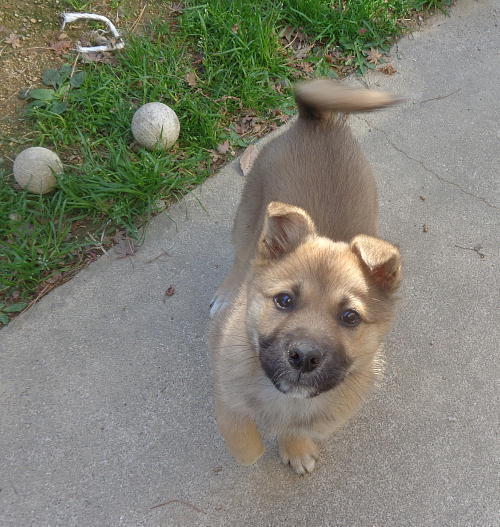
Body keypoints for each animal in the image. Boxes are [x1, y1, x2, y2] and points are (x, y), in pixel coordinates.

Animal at [208, 79, 401, 475]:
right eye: (284, 300)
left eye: (350, 317)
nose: (304, 357)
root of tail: (317, 120)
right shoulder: (226, 392)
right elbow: (242, 437)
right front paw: (251, 450)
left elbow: (296, 429)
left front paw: (295, 448)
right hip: (247, 215)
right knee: (241, 256)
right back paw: (226, 293)